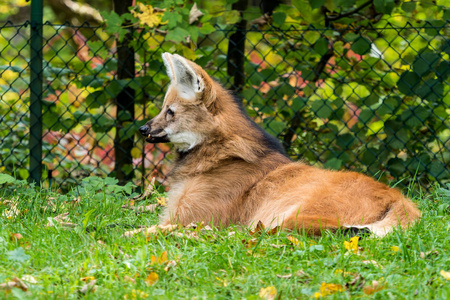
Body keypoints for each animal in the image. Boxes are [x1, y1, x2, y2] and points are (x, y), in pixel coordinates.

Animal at [139, 53, 420, 237]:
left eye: (170, 112)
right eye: (163, 109)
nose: (143, 129)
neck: (217, 152)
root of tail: (398, 197)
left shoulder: (193, 217)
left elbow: (144, 229)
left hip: (292, 216)